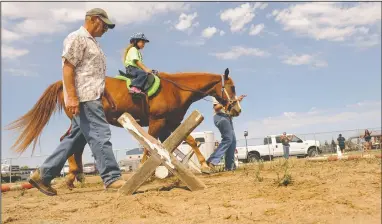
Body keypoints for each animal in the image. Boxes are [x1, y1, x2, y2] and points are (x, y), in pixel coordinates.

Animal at [6, 68, 242, 187]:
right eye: (231, 87)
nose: (236, 109)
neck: (175, 89)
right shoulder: (157, 121)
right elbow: (149, 145)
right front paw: (146, 172)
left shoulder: (172, 123)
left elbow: (190, 141)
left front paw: (204, 165)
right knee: (71, 143)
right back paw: (73, 176)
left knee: (73, 144)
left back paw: (75, 177)